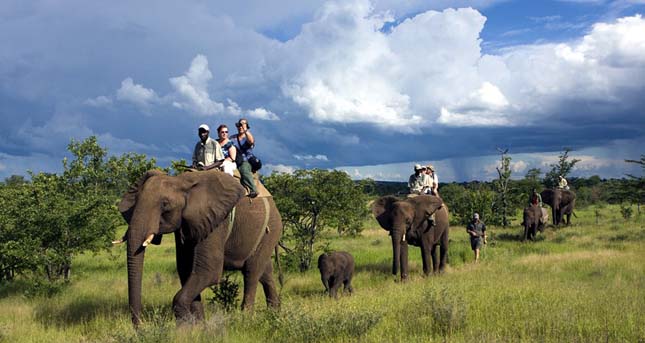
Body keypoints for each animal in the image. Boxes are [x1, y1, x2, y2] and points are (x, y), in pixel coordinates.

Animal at [117, 171, 282, 326]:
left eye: (165, 205)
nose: (140, 327)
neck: (181, 181)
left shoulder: (216, 221)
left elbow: (208, 271)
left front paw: (186, 327)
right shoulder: (186, 224)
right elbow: (186, 269)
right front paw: (199, 326)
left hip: (271, 230)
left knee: (251, 273)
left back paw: (246, 319)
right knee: (265, 273)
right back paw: (274, 314)